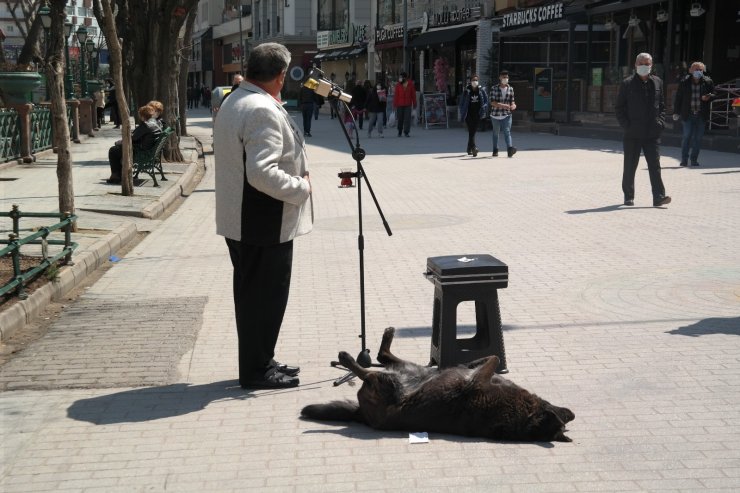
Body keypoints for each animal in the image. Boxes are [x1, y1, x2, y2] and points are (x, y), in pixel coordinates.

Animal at [300, 328, 572, 440]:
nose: (570, 412)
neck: (523, 416)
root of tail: (360, 415)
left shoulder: (477, 384)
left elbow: (492, 360)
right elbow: (489, 358)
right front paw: (467, 363)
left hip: (386, 383)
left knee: (369, 370)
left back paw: (346, 358)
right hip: (410, 369)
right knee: (382, 357)